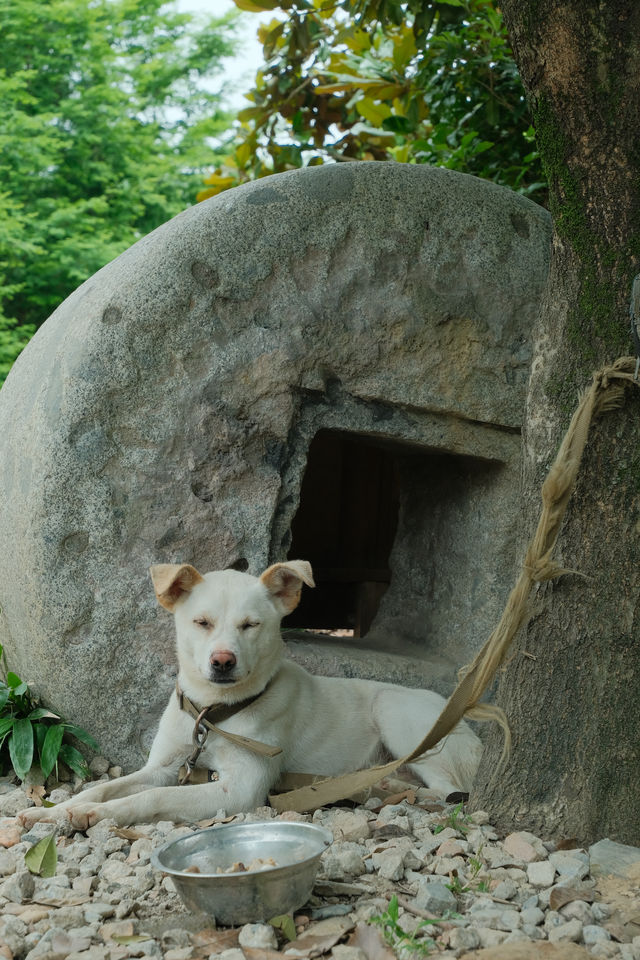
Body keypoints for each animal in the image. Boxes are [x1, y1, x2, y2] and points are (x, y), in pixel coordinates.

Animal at [18, 560, 480, 828]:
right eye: (202, 622)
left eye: (250, 625)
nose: (222, 661)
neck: (212, 715)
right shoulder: (164, 765)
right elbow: (106, 787)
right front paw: (57, 809)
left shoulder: (239, 790)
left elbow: (152, 796)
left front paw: (97, 815)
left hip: (397, 712)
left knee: (447, 789)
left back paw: (384, 789)